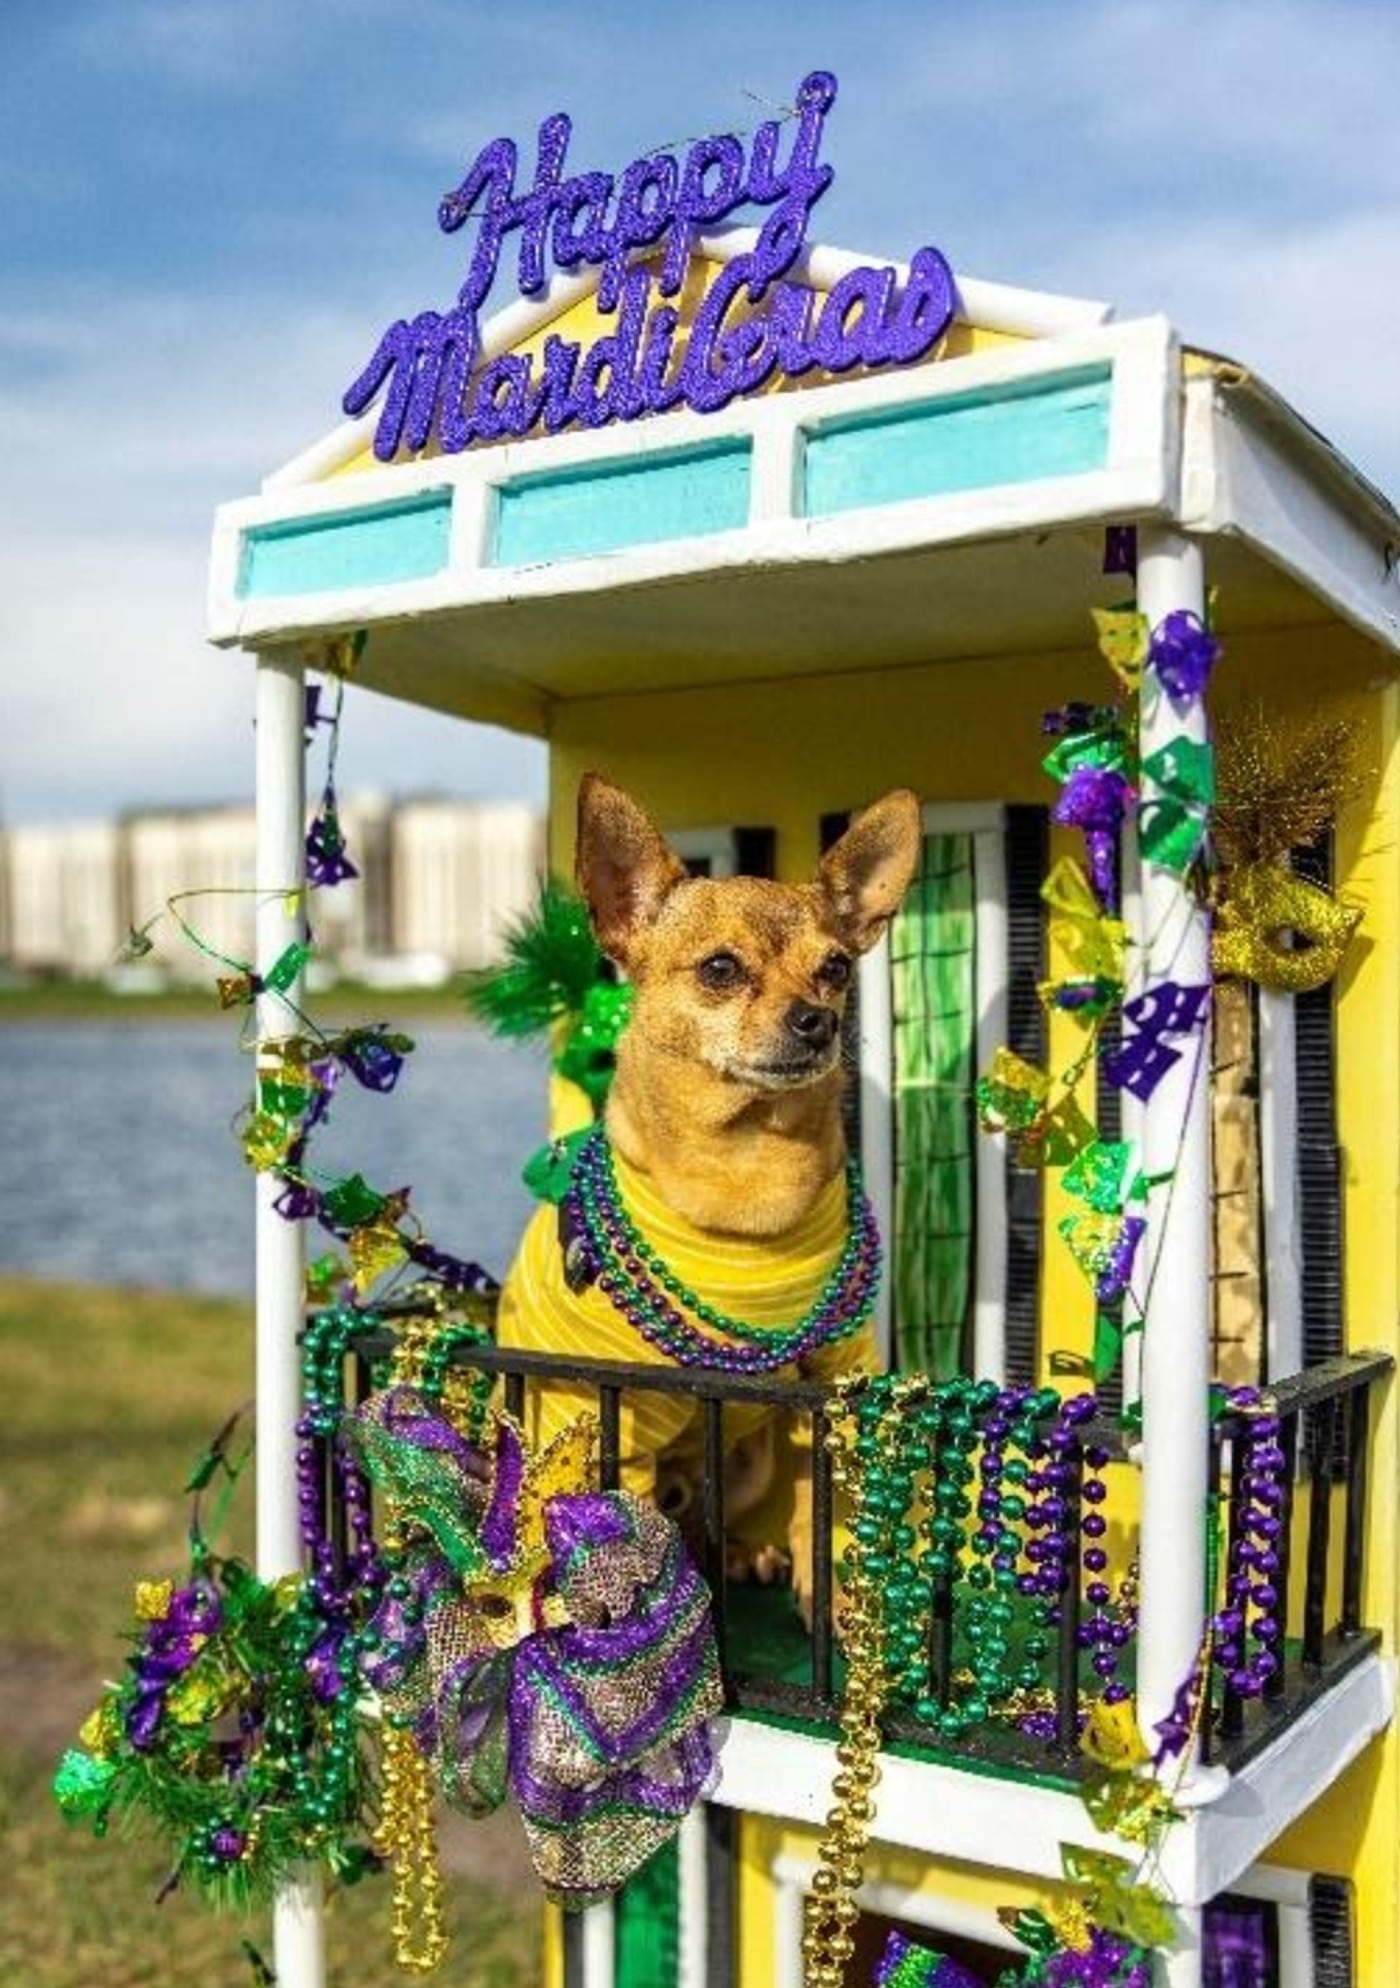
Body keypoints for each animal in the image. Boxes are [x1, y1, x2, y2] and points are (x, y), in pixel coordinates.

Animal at [497, 771, 922, 1614]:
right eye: (721, 970)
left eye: (836, 969)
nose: (818, 1020)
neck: (748, 1169)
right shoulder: (603, 1415)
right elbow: (617, 1537)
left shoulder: (830, 1386)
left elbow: (825, 1509)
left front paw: (826, 1593)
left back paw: (747, 1553)